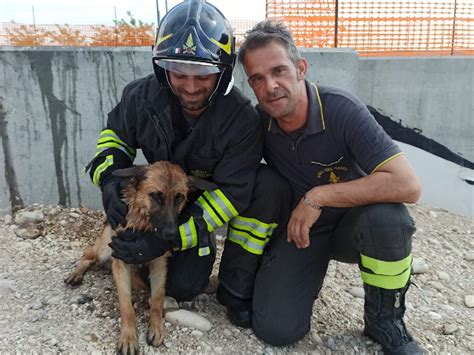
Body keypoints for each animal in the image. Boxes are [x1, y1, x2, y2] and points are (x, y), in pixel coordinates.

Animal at [64, 163, 215, 354]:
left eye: (179, 198)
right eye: (156, 195)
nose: (171, 234)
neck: (143, 225)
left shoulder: (159, 264)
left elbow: (157, 298)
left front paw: (156, 328)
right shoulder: (120, 261)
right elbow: (126, 305)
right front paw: (128, 337)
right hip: (104, 248)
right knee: (88, 256)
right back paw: (76, 274)